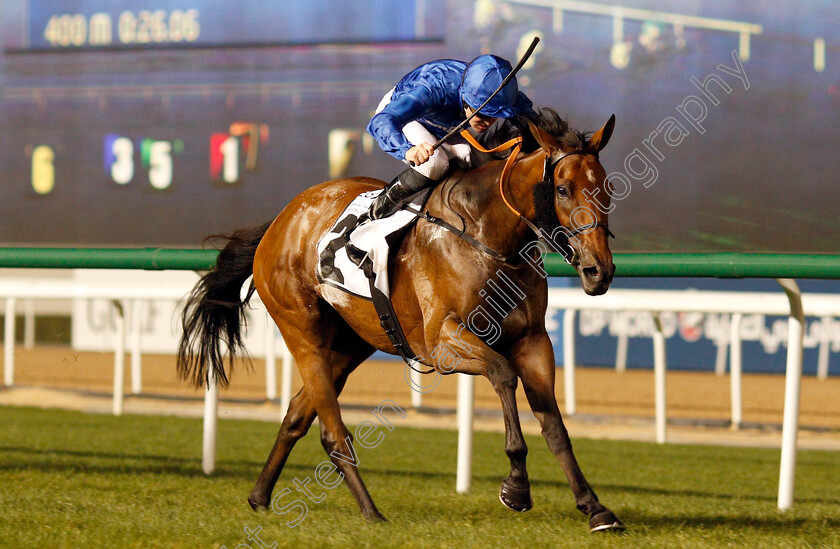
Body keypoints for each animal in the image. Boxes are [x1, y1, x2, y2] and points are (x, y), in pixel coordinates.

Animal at [177, 108, 624, 532]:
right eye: (563, 189)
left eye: (607, 187)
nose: (598, 271)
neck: (487, 235)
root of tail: (281, 220)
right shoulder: (444, 342)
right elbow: (502, 373)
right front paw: (516, 485)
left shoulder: (533, 341)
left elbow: (555, 426)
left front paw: (595, 508)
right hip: (302, 330)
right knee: (332, 431)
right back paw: (371, 512)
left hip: (350, 343)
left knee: (297, 416)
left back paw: (260, 496)